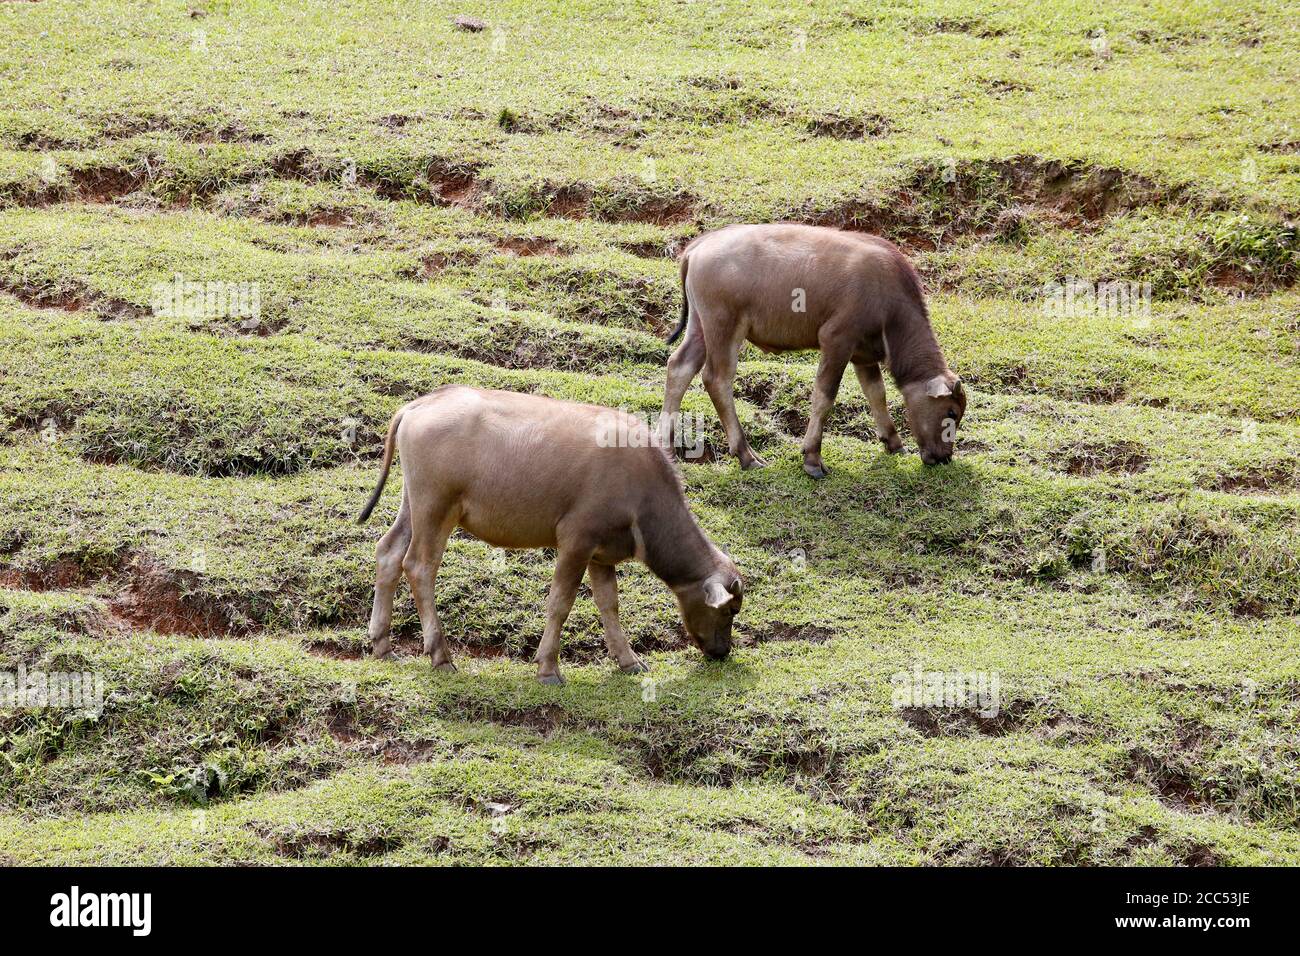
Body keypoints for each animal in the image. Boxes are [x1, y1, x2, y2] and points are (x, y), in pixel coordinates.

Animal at [356, 385, 743, 686]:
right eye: (729, 611)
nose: (722, 651)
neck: (641, 490)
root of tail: (418, 405)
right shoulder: (576, 542)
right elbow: (561, 603)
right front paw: (548, 668)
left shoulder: (601, 554)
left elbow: (609, 604)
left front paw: (628, 660)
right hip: (436, 507)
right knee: (419, 567)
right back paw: (441, 655)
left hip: (413, 504)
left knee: (389, 552)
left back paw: (382, 645)